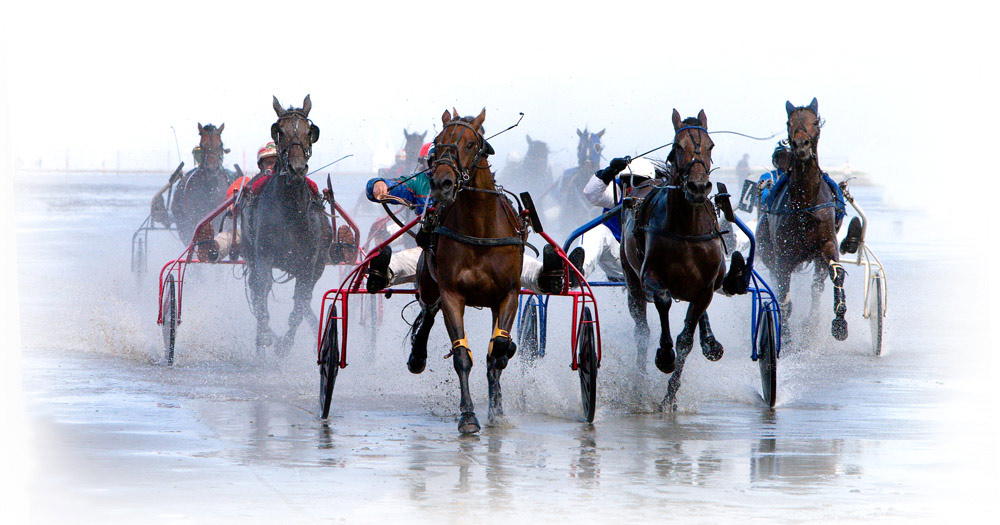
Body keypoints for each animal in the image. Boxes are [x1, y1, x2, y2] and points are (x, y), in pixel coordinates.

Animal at [241, 96, 332, 354]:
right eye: (278, 130)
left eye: (309, 131)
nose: (297, 168)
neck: (292, 212)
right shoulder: (263, 256)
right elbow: (261, 290)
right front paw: (265, 335)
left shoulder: (309, 265)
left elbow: (299, 305)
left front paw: (285, 344)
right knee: (256, 290)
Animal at [408, 107, 528, 434]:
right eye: (437, 142)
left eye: (472, 144)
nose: (443, 184)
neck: (480, 227)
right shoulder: (452, 294)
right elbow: (462, 355)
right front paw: (469, 415)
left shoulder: (508, 294)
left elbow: (498, 348)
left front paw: (496, 409)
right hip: (428, 283)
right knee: (427, 312)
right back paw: (417, 354)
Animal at [616, 109, 728, 410]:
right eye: (678, 146)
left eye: (711, 145)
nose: (698, 186)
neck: (686, 229)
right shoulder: (649, 276)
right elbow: (663, 299)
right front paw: (665, 356)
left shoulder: (704, 290)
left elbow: (686, 339)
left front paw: (670, 397)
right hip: (631, 279)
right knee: (641, 330)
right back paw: (639, 382)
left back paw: (710, 341)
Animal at [752, 97, 848, 340]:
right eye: (789, 122)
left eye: (815, 121)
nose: (801, 145)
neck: (805, 205)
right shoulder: (783, 255)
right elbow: (784, 299)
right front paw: (784, 336)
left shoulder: (827, 244)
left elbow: (837, 274)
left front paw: (839, 323)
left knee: (817, 286)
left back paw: (811, 324)